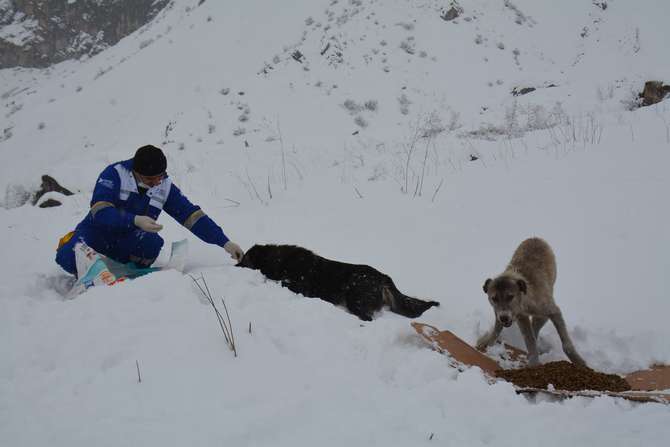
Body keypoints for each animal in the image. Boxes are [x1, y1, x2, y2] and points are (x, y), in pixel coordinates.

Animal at [238, 245, 440, 322]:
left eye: (245, 259)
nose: (235, 265)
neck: (280, 261)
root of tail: (382, 277)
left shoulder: (300, 287)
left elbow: (282, 283)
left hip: (355, 299)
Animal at [478, 238, 588, 368]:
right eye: (494, 298)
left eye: (510, 296)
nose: (504, 317)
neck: (525, 300)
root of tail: (535, 237)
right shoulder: (520, 317)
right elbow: (529, 340)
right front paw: (533, 362)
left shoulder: (552, 311)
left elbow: (566, 343)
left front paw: (578, 361)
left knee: (536, 325)